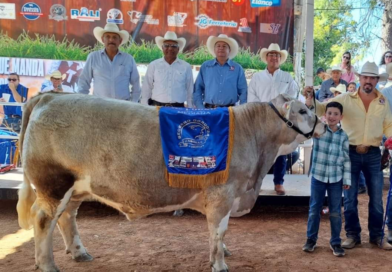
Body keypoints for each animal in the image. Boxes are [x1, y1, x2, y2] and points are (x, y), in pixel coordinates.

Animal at [16, 92, 326, 270]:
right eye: (302, 111)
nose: (324, 124)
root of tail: (49, 96)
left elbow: (217, 233)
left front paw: (221, 253)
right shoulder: (222, 193)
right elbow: (219, 230)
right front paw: (219, 263)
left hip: (75, 186)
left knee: (67, 217)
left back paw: (79, 253)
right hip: (53, 182)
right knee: (43, 220)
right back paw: (48, 265)